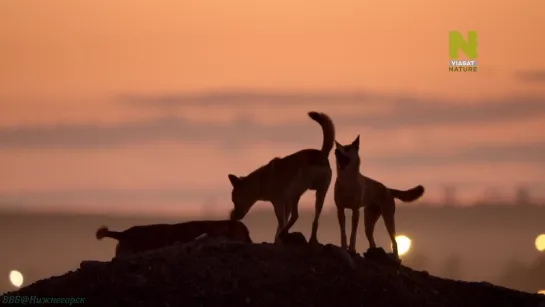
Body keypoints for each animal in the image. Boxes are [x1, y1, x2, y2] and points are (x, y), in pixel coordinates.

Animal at [226, 112, 336, 244]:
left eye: (234, 200)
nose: (232, 216)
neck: (261, 180)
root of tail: (322, 154)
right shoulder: (285, 203)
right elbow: (282, 222)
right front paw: (279, 237)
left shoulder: (278, 202)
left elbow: (281, 222)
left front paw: (280, 236)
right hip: (320, 193)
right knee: (315, 219)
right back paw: (312, 239)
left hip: (295, 193)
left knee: (296, 215)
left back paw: (285, 234)